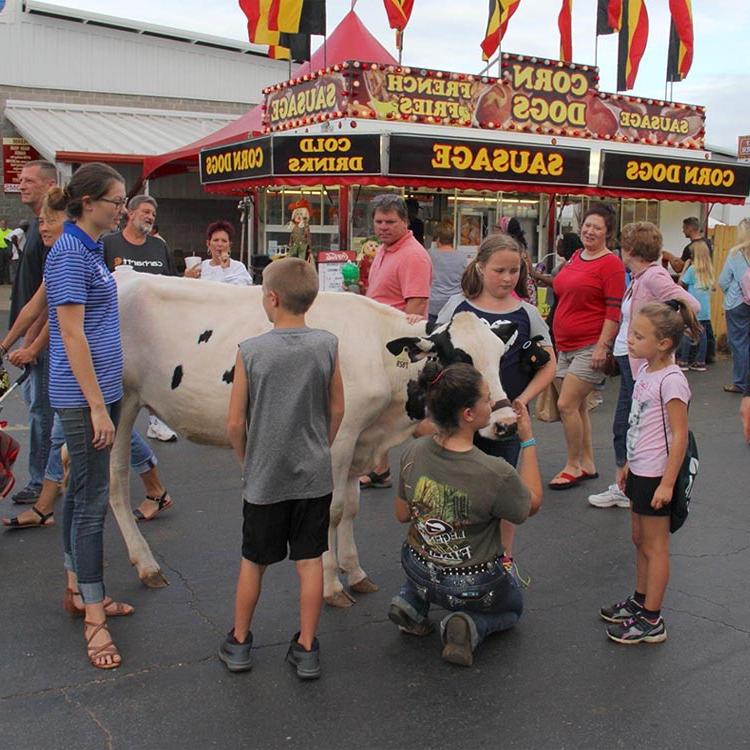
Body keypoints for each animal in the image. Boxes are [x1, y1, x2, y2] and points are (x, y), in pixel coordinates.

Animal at [111, 272, 520, 612]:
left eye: (501, 357)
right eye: (460, 360)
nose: (505, 424)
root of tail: (123, 273)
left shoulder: (360, 441)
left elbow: (351, 507)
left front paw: (355, 572)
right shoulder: (338, 439)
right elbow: (333, 510)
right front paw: (331, 585)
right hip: (119, 407)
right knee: (114, 484)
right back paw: (144, 565)